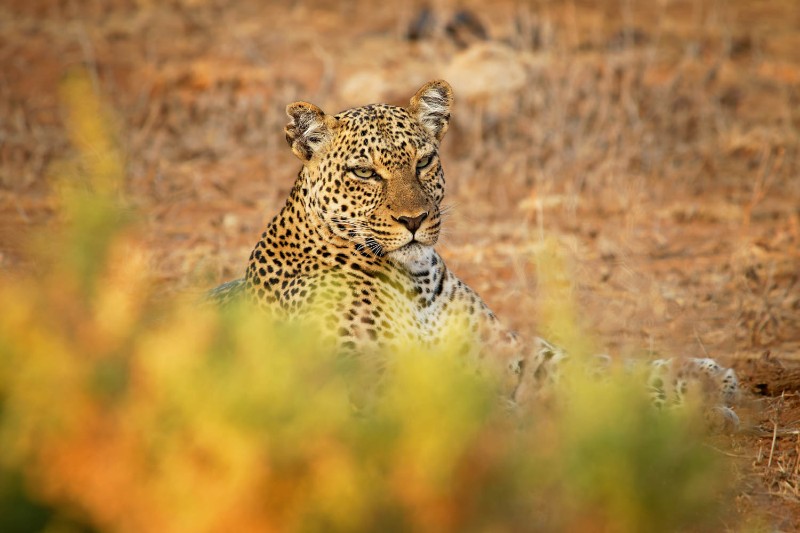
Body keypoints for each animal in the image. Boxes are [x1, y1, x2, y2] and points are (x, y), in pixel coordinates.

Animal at [208, 79, 741, 426]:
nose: (414, 220)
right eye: (364, 172)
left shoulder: (507, 350)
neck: (416, 282)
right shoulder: (364, 379)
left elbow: (595, 366)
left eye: (424, 161)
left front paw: (706, 379)